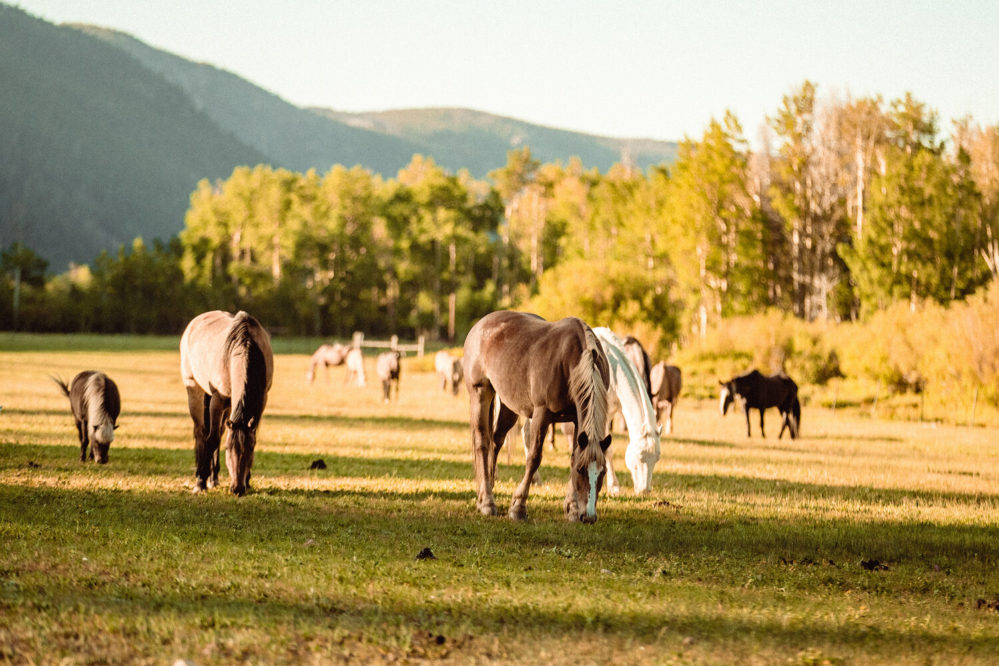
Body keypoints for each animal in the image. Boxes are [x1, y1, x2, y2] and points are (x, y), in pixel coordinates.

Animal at [180, 310, 274, 495]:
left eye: (250, 449)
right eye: (228, 449)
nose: (237, 489)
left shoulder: (261, 402)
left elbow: (250, 435)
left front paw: (247, 480)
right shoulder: (217, 401)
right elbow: (212, 439)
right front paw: (200, 483)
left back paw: (214, 478)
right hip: (194, 389)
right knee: (201, 432)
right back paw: (202, 475)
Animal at [463, 311, 612, 523]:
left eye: (603, 472)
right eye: (581, 470)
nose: (589, 516)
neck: (571, 361)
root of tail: (481, 324)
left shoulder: (577, 420)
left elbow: (574, 455)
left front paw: (573, 508)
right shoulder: (542, 416)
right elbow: (534, 458)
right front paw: (518, 506)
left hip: (509, 407)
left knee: (495, 441)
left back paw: (487, 490)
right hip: (480, 394)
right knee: (482, 443)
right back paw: (487, 502)